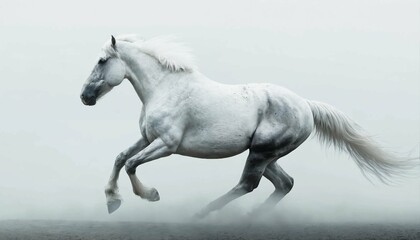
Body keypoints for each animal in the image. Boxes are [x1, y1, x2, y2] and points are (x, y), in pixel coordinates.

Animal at [80, 34, 416, 217]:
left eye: (101, 61)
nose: (85, 97)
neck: (165, 88)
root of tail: (306, 105)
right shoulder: (147, 138)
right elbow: (121, 158)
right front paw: (112, 200)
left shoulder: (167, 144)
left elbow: (132, 164)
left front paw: (150, 195)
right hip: (267, 155)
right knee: (284, 183)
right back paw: (253, 217)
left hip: (261, 153)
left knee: (248, 184)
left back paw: (203, 214)